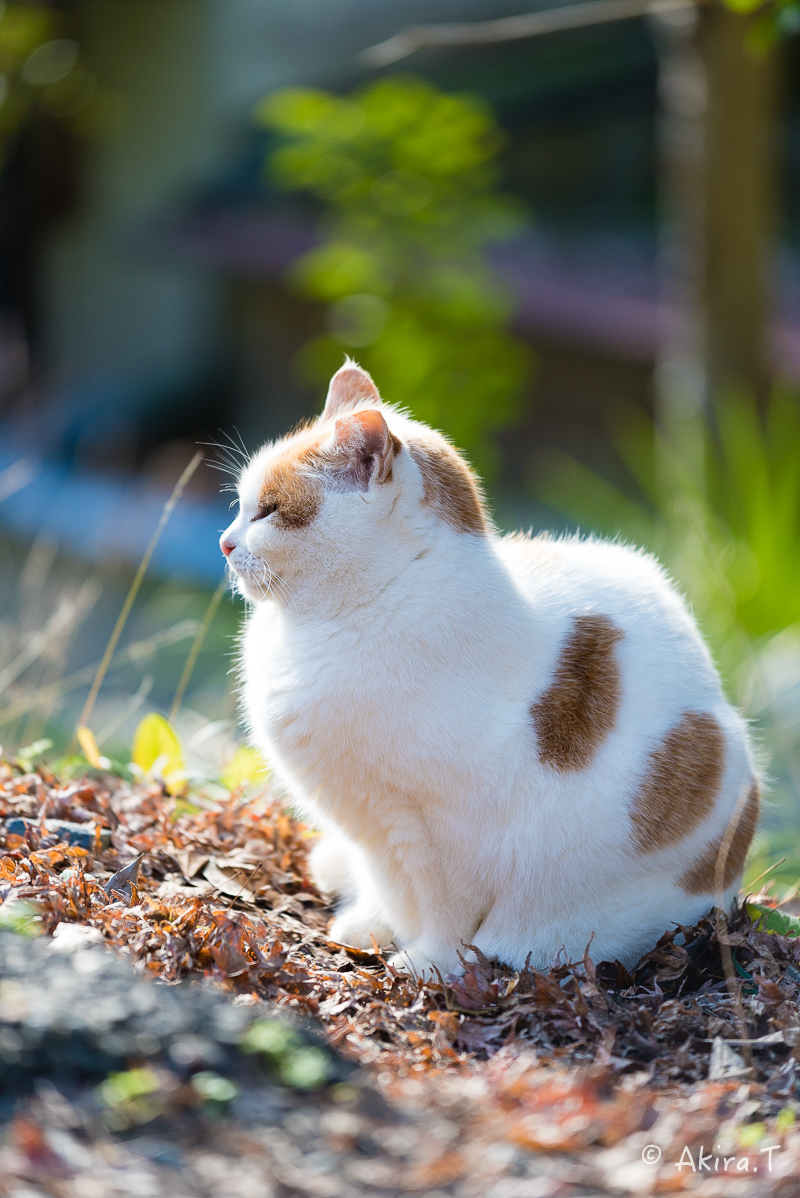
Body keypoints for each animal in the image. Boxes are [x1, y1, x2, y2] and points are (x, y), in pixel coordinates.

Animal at [221, 359, 761, 977]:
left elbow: (447, 915)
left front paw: (427, 965)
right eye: (241, 504)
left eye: (269, 510)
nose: (224, 543)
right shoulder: (373, 825)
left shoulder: (445, 837)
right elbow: (388, 886)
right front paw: (371, 926)